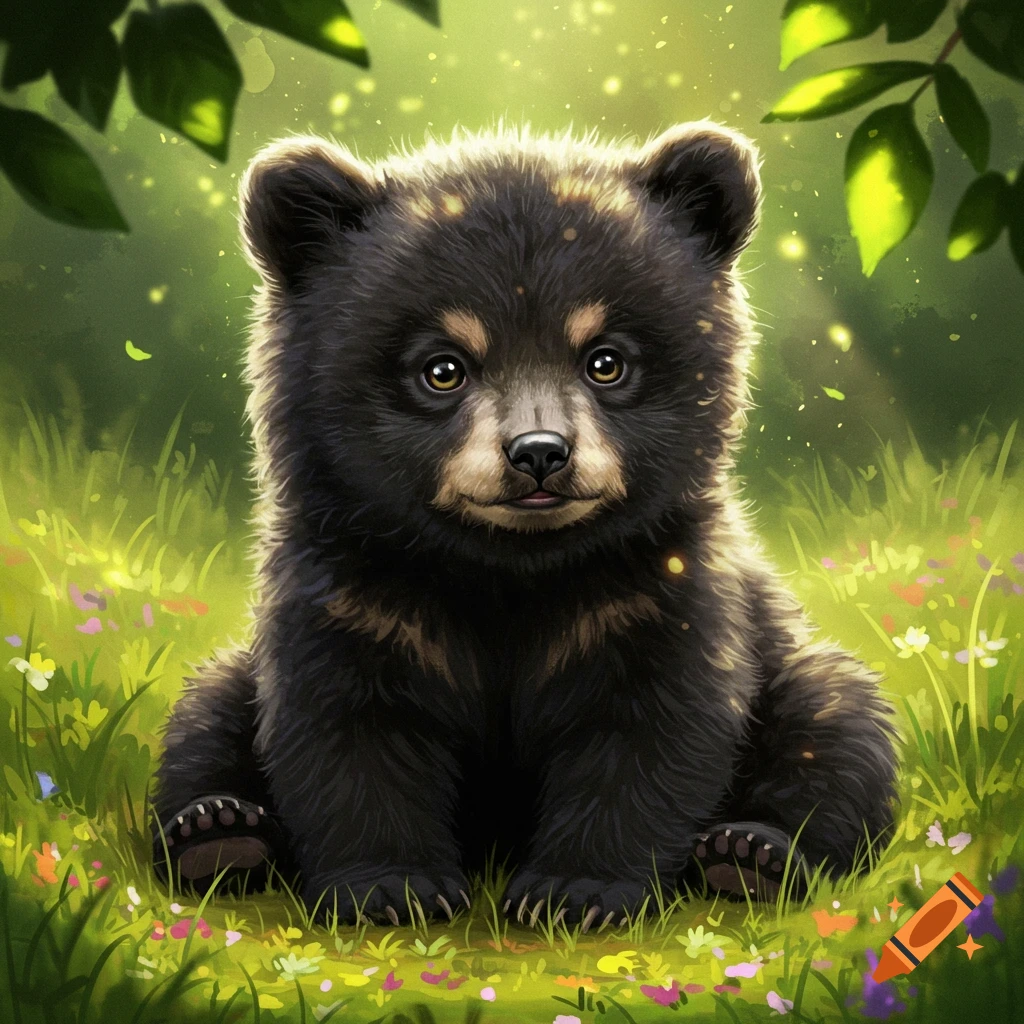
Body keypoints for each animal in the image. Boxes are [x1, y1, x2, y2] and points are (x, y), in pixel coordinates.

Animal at [151, 119, 900, 929]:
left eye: (605, 361)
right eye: (443, 368)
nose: (539, 453)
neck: (508, 569)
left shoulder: (658, 592)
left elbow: (651, 729)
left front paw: (578, 891)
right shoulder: (350, 592)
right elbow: (349, 726)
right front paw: (391, 886)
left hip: (791, 668)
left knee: (839, 726)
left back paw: (751, 854)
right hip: (235, 675)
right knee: (202, 717)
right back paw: (217, 831)